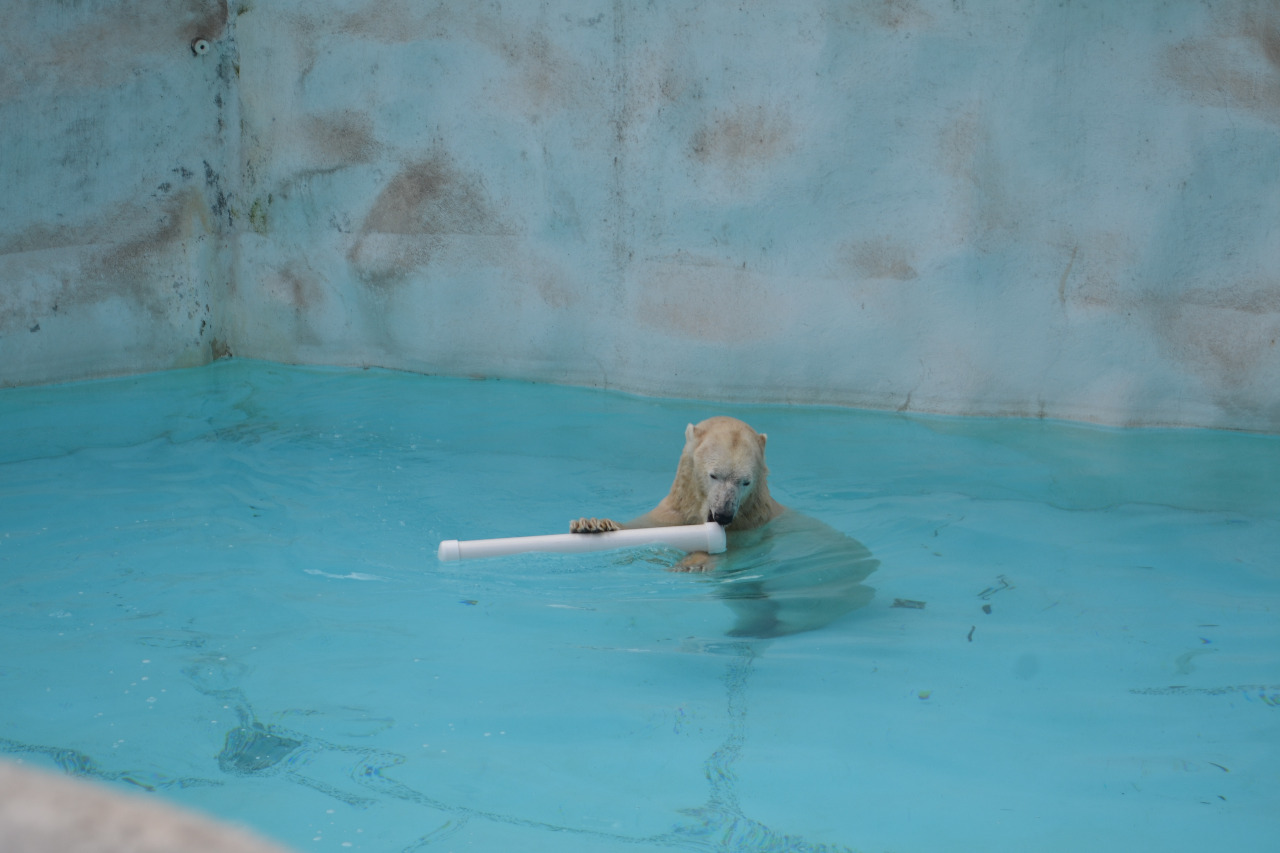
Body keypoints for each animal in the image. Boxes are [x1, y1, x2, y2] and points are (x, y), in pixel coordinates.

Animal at [570, 416, 879, 636]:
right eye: (713, 475)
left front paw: (692, 563)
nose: (722, 515)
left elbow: (740, 552)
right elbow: (645, 530)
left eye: (745, 481)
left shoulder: (754, 525)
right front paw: (593, 524)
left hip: (825, 582)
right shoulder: (675, 510)